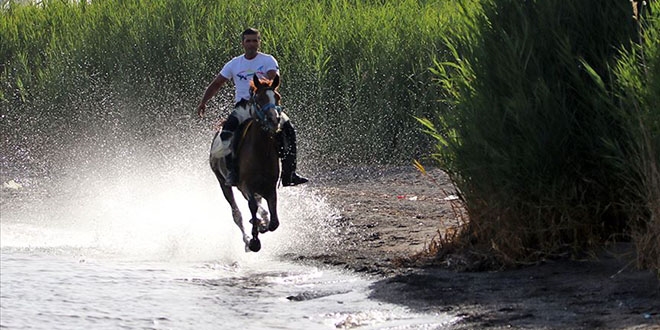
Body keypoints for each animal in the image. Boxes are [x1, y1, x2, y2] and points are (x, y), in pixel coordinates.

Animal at [209, 74, 282, 250]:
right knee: (237, 213)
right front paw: (254, 240)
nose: (274, 120)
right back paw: (247, 240)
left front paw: (263, 224)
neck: (260, 152)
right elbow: (253, 206)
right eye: (259, 99)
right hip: (223, 182)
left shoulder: (270, 186)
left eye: (277, 97)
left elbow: (274, 221)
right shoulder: (245, 184)